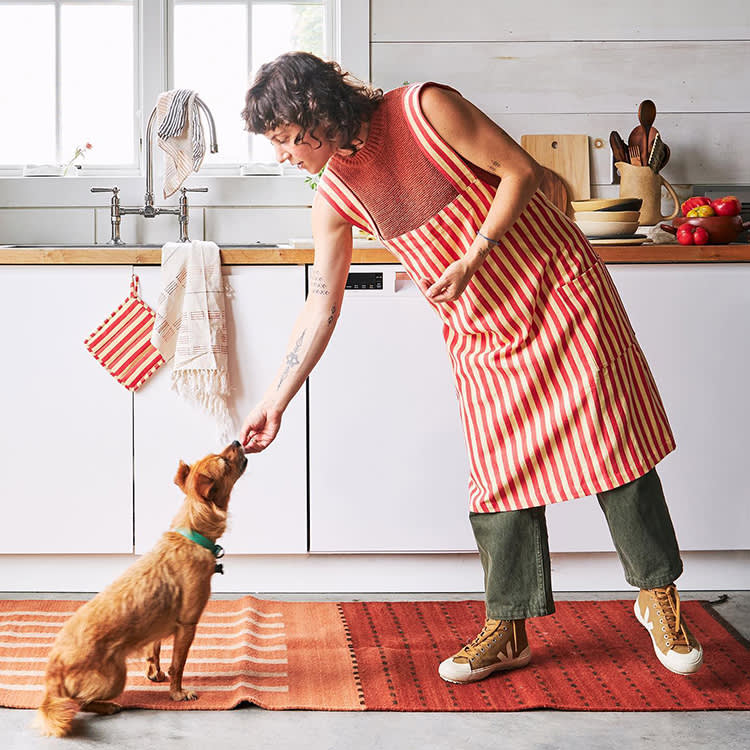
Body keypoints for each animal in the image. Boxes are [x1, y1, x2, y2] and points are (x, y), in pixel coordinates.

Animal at [35, 440, 248, 740]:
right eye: (224, 461)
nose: (238, 441)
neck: (192, 533)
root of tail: (53, 673)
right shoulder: (187, 625)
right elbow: (178, 665)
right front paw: (177, 694)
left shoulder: (158, 626)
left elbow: (154, 650)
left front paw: (155, 674)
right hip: (116, 677)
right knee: (81, 703)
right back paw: (109, 707)